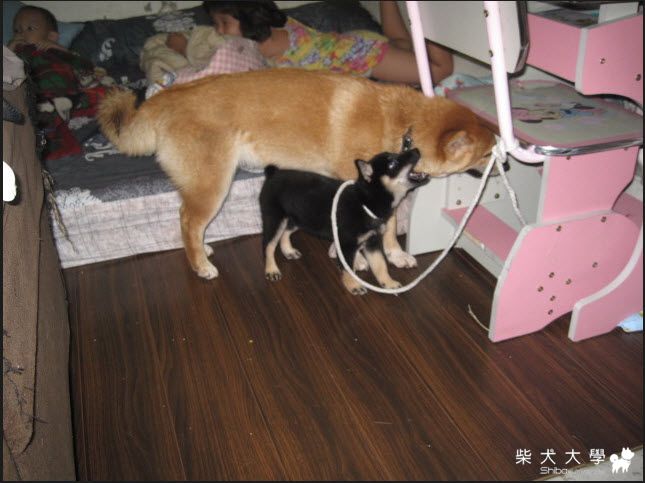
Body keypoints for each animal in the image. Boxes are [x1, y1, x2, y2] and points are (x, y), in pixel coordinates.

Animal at [98, 68, 496, 280]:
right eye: (490, 153)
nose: (504, 165)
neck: (402, 125)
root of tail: (164, 98)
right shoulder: (356, 190)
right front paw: (353, 258)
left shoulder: (388, 195)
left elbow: (391, 227)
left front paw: (396, 255)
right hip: (213, 186)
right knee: (187, 221)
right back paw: (201, 265)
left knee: (189, 224)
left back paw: (204, 250)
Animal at [260, 147, 429, 294]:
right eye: (392, 164)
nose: (416, 150)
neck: (365, 201)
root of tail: (272, 174)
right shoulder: (347, 245)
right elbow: (348, 268)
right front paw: (353, 286)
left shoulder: (372, 242)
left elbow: (380, 265)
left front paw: (388, 283)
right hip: (275, 219)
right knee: (268, 246)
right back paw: (271, 270)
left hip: (299, 218)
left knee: (285, 232)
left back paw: (288, 251)